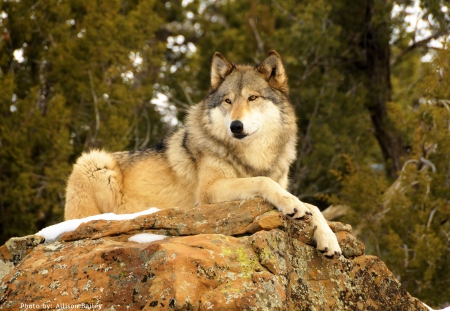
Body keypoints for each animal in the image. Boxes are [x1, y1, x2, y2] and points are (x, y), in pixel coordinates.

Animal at [64, 51, 342, 258]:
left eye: (252, 98)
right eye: (228, 101)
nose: (236, 126)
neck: (252, 158)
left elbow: (313, 206)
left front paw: (329, 239)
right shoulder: (209, 191)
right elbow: (265, 182)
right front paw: (291, 205)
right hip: (93, 162)